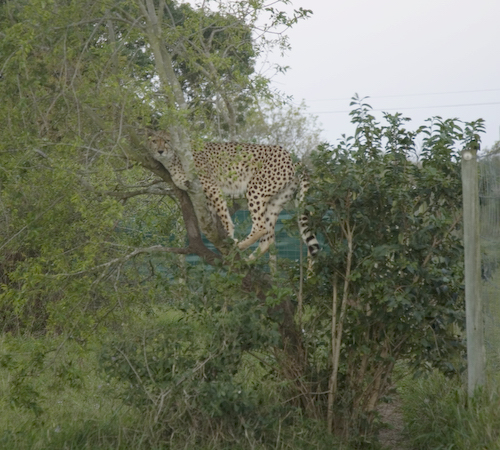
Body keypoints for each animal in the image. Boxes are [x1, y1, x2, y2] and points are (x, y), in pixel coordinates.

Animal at [149, 130, 320, 258]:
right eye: (154, 141)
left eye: (166, 141)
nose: (160, 151)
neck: (173, 159)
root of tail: (291, 157)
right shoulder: (202, 192)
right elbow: (212, 215)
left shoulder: (212, 186)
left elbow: (224, 215)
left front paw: (229, 236)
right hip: (275, 201)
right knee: (268, 237)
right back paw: (250, 260)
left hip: (255, 189)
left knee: (260, 226)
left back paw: (240, 245)